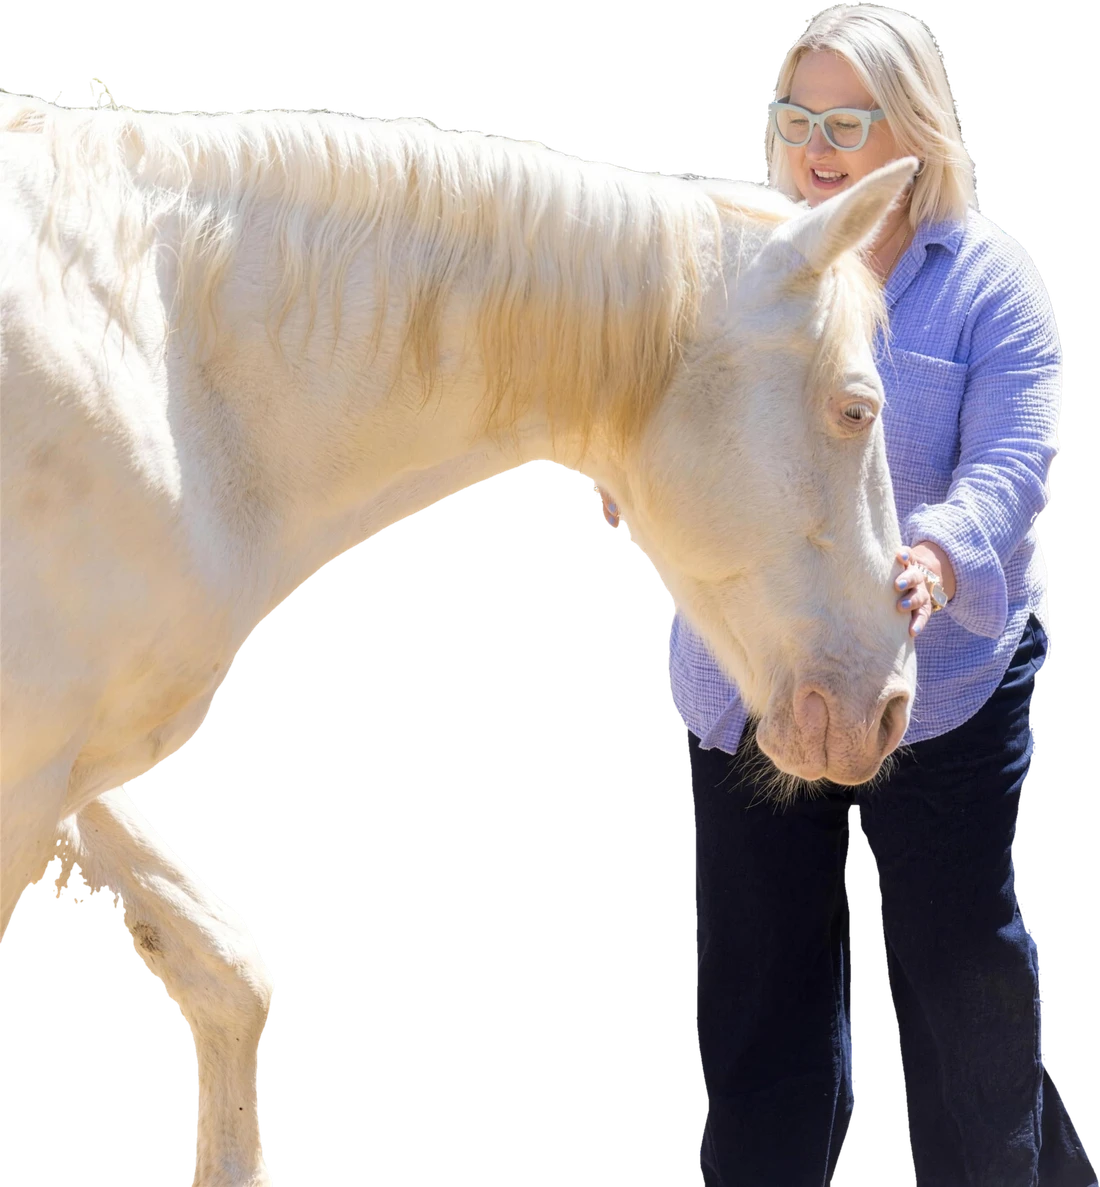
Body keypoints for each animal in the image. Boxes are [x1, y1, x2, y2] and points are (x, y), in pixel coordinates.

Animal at [1, 94, 917, 1184]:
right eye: (856, 408)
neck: (162, 357)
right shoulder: (27, 772)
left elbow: (228, 970)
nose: (888, 705)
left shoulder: (68, 767)